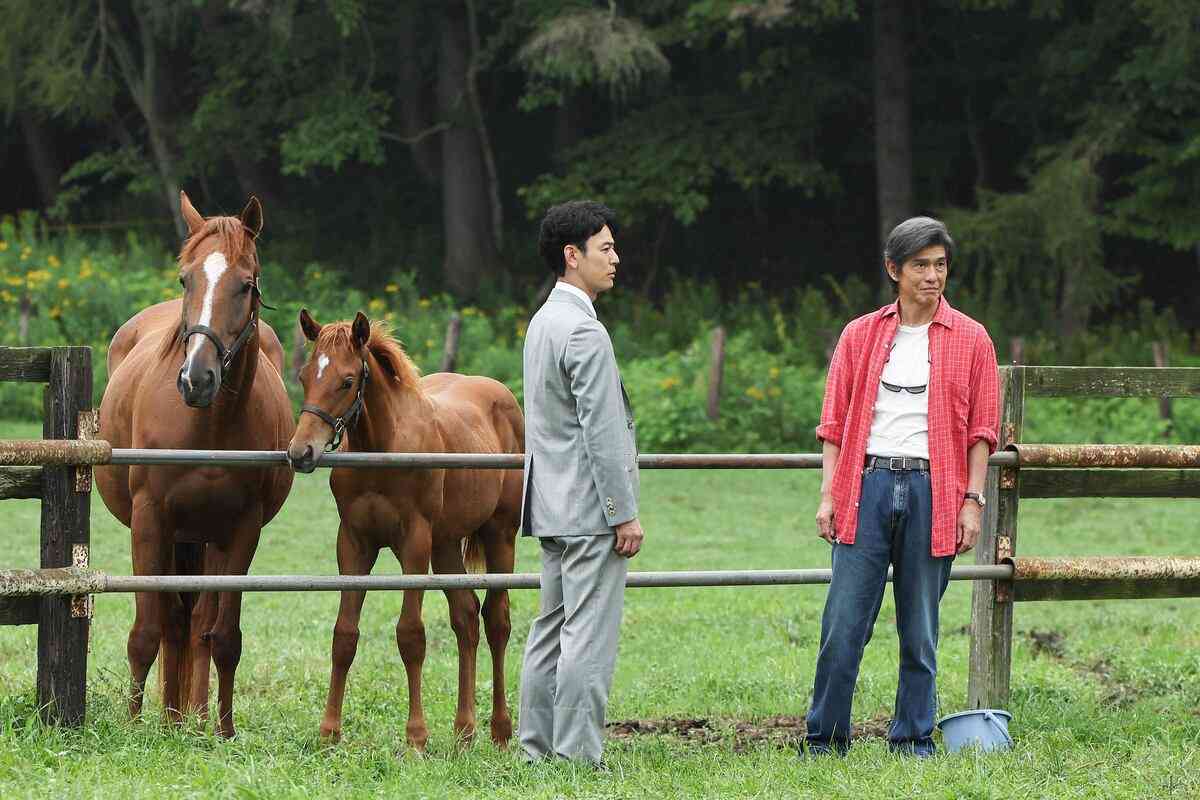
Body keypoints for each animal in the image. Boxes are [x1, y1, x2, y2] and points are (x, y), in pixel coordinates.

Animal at [95, 191, 295, 738]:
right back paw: (169, 720)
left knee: (198, 622)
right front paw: (133, 728)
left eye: (245, 284)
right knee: (174, 621)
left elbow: (221, 635)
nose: (196, 379)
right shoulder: (150, 520)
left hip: (206, 538)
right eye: (186, 279)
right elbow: (148, 629)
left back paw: (193, 719)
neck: (208, 428)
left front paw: (223, 730)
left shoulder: (242, 529)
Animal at [286, 309, 523, 750]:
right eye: (305, 376)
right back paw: (464, 730)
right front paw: (329, 731)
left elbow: (410, 635)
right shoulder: (354, 544)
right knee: (465, 617)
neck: (383, 447)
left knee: (496, 621)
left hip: (500, 536)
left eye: (347, 380)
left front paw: (416, 736)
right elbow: (344, 635)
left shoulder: (414, 543)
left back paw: (500, 729)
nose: (301, 453)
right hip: (445, 545)